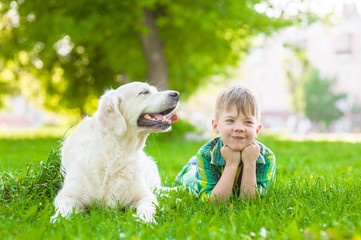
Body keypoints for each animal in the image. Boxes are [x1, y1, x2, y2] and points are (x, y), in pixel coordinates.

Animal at [50, 81, 179, 222]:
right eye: (144, 92)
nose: (176, 94)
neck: (116, 151)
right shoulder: (68, 195)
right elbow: (63, 209)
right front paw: (58, 220)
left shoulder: (145, 196)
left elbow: (148, 206)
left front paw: (145, 220)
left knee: (159, 190)